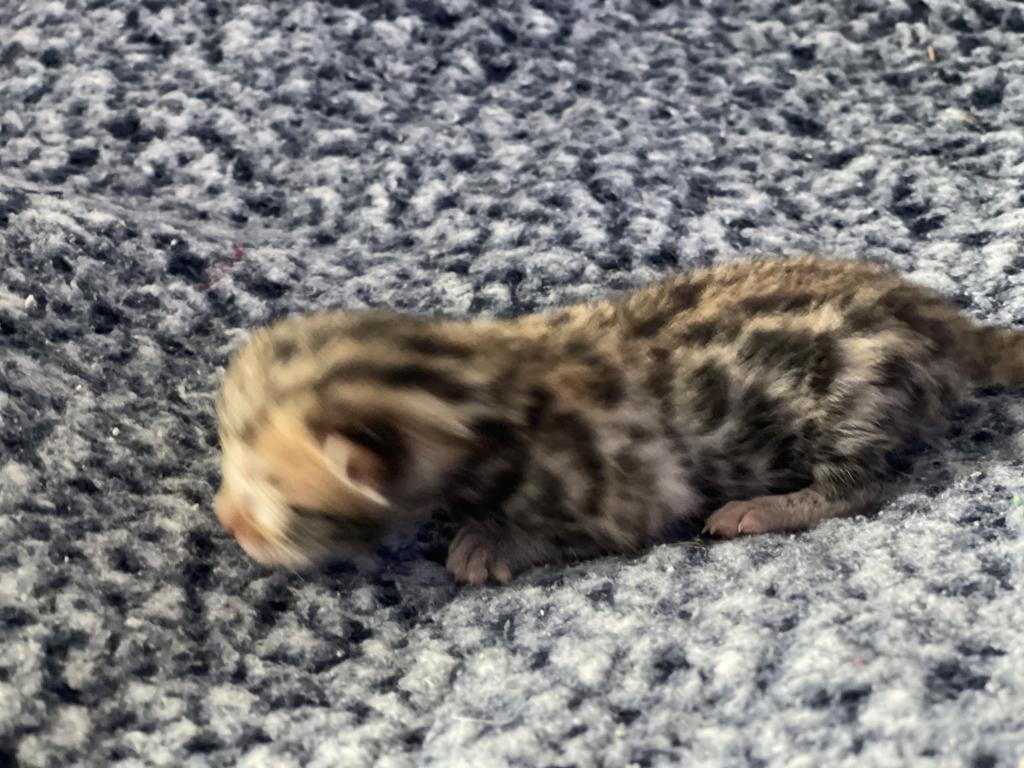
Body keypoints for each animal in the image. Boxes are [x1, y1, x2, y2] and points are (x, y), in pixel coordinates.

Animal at [214, 256, 1024, 585]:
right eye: (227, 464)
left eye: (281, 503)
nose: (227, 520)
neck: (475, 380)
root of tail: (946, 326)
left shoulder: (627, 485)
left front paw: (491, 540)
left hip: (848, 400)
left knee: (860, 485)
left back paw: (768, 506)